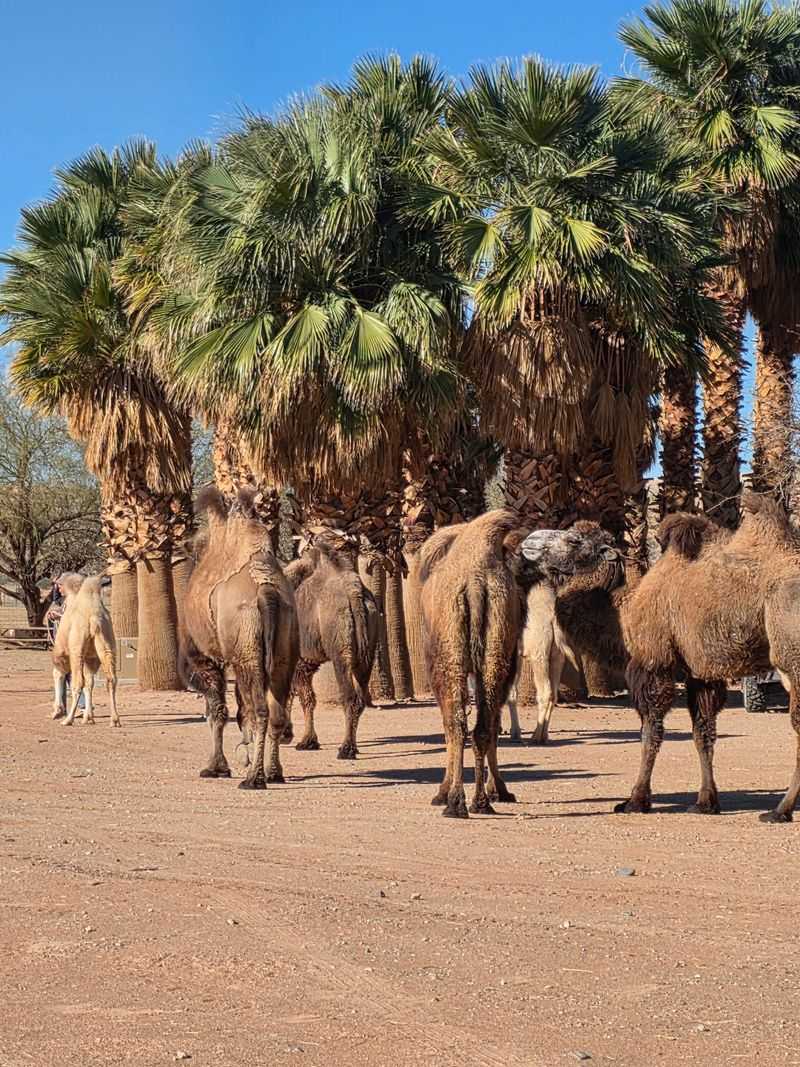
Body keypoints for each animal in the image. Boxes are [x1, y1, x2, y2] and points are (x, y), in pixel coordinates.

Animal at [52, 572, 120, 727]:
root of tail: (94, 619)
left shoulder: (62, 653)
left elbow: (58, 673)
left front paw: (57, 711)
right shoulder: (91, 659)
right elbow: (90, 683)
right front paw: (88, 718)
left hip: (76, 649)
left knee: (77, 683)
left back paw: (68, 719)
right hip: (107, 645)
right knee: (110, 679)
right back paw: (114, 720)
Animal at [181, 487, 299, 789]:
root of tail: (267, 590)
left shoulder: (206, 658)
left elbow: (217, 711)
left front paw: (216, 767)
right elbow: (236, 711)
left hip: (247, 654)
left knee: (260, 711)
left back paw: (253, 779)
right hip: (283, 651)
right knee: (276, 712)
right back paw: (273, 772)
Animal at [284, 532, 379, 759]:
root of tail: (355, 593)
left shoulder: (298, 661)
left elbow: (304, 697)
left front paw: (302, 739)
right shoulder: (306, 662)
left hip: (340, 648)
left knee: (350, 696)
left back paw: (346, 749)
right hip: (368, 649)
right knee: (361, 694)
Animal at [419, 511, 621, 818]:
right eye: (575, 539)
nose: (611, 550)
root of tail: (475, 582)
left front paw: (453, 792)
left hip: (461, 655)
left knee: (462, 725)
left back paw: (464, 801)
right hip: (488, 650)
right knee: (477, 724)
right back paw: (476, 800)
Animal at [619, 491, 800, 823]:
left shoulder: (655, 657)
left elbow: (651, 730)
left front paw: (636, 800)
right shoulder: (701, 670)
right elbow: (703, 732)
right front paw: (706, 801)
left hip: (790, 660)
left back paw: (779, 810)